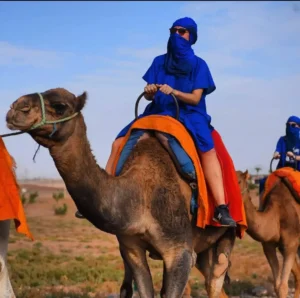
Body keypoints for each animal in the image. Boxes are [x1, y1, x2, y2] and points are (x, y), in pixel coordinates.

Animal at [5, 88, 237, 298]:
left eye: (60, 106)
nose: (15, 107)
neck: (141, 196)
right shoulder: (131, 247)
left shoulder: (179, 251)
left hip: (225, 235)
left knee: (216, 277)